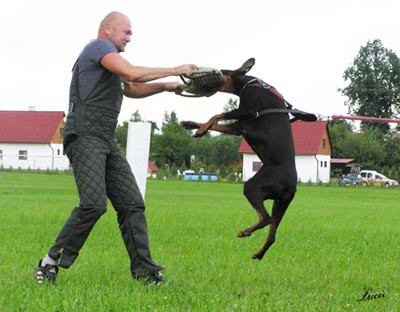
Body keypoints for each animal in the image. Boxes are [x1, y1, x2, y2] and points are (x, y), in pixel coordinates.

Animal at [181, 58, 304, 260]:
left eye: (221, 71)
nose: (189, 74)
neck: (249, 83)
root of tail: (291, 186)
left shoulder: (247, 111)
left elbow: (217, 115)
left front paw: (201, 128)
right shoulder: (239, 126)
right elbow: (217, 122)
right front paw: (193, 125)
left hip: (253, 187)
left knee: (266, 219)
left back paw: (245, 232)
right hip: (280, 204)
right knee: (272, 233)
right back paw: (259, 254)